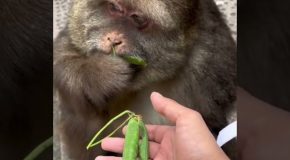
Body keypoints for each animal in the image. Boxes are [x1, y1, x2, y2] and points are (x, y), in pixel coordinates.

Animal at [53, 0, 236, 159]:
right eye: (114, 7)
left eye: (138, 19)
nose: (113, 39)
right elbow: (61, 56)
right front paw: (100, 74)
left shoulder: (212, 63)